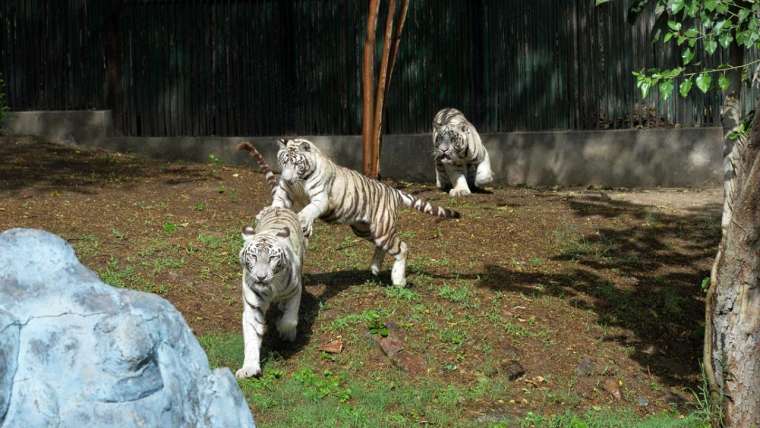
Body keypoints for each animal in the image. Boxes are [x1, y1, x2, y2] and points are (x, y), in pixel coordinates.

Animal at [236, 205, 304, 378]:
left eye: (272, 258)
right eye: (253, 256)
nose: (261, 277)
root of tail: (279, 207)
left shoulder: (295, 291)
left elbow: (289, 320)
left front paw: (284, 331)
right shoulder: (253, 305)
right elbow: (252, 336)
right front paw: (249, 368)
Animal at [262, 138, 458, 288]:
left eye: (297, 163)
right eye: (284, 162)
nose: (287, 178)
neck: (300, 181)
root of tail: (393, 190)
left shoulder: (320, 198)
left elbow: (310, 208)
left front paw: (303, 219)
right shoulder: (285, 191)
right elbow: (278, 202)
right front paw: (269, 211)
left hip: (381, 228)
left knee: (402, 247)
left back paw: (398, 280)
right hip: (365, 229)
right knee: (383, 246)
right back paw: (375, 267)